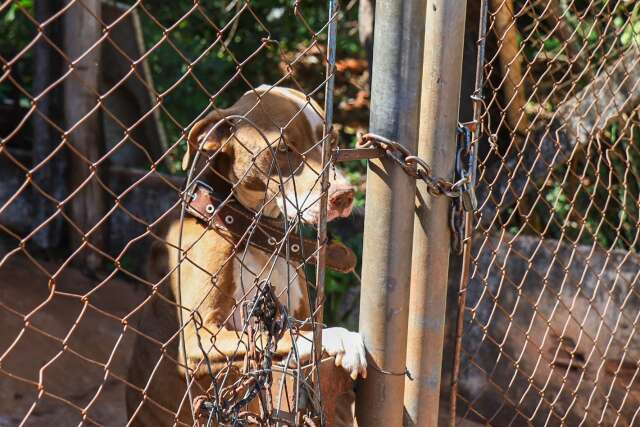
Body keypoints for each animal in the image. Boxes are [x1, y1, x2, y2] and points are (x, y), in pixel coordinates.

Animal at [126, 85, 364, 426]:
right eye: (283, 148)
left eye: (331, 141)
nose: (343, 195)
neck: (255, 232)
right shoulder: (198, 340)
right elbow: (287, 336)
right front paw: (339, 337)